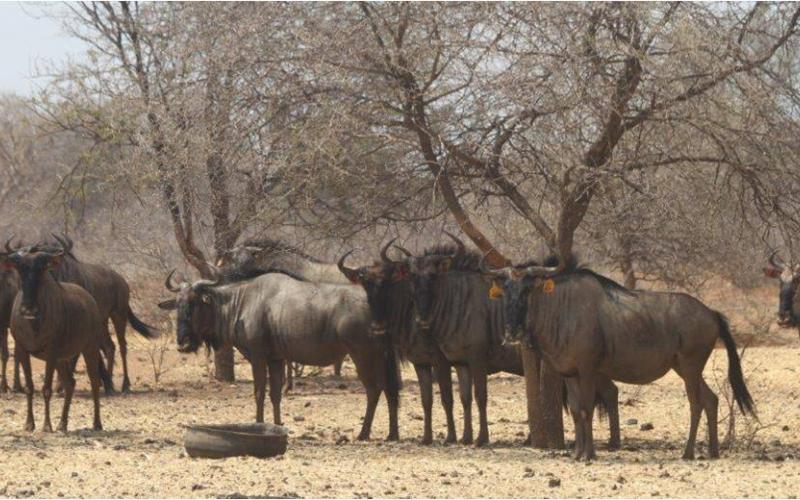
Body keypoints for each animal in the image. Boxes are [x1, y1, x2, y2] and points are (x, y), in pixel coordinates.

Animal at [2, 240, 106, 432]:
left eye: (41, 268)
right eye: (20, 267)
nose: (28, 309)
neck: (33, 323)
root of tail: (90, 301)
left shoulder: (50, 353)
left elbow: (46, 389)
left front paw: (46, 425)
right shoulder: (22, 350)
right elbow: (29, 387)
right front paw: (29, 424)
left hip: (90, 349)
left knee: (94, 381)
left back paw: (96, 423)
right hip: (62, 359)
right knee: (70, 383)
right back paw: (62, 424)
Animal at [158, 268, 400, 441]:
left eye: (194, 302)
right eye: (178, 304)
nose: (183, 344)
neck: (242, 301)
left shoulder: (258, 358)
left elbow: (259, 393)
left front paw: (258, 424)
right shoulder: (276, 359)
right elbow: (275, 394)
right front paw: (276, 425)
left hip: (363, 356)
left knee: (374, 390)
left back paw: (364, 433)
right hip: (383, 358)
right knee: (390, 390)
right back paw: (392, 434)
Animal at [337, 239, 458, 444]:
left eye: (385, 282)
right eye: (365, 283)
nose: (377, 326)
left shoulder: (440, 360)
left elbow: (446, 397)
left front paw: (450, 436)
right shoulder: (412, 359)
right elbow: (416, 396)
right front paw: (397, 434)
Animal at [482, 256, 756, 460]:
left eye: (528, 289)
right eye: (505, 290)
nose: (512, 331)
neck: (560, 308)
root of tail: (711, 313)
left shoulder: (588, 370)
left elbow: (586, 409)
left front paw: (589, 454)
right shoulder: (568, 373)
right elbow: (576, 409)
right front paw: (577, 453)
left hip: (689, 369)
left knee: (696, 403)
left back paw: (687, 453)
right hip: (687, 369)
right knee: (711, 399)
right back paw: (713, 451)